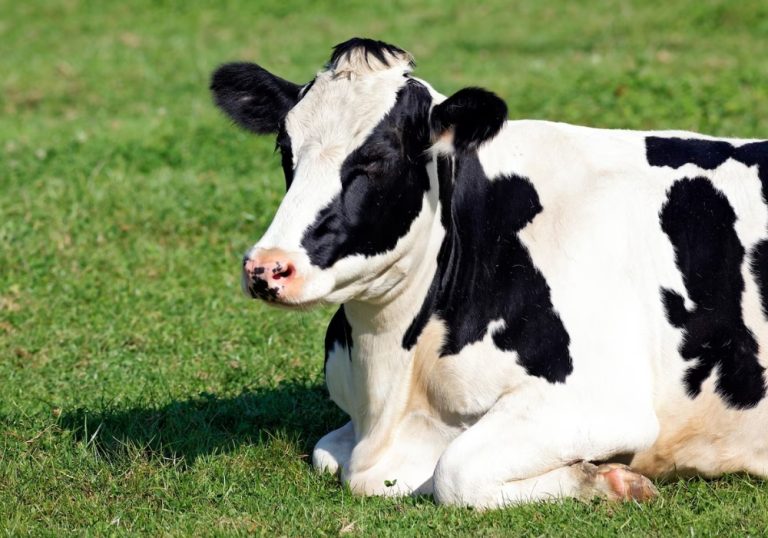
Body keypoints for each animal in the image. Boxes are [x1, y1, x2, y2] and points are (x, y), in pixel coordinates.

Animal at [211, 38, 768, 508]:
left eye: (378, 159)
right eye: (285, 149)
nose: (267, 267)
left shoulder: (602, 401)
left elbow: (456, 473)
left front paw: (608, 480)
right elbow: (327, 453)